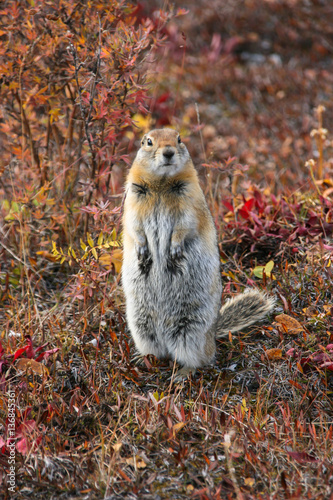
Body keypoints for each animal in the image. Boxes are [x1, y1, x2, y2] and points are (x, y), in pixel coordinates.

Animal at [120, 129, 274, 378]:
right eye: (148, 141)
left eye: (179, 139)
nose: (169, 152)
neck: (162, 183)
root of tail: (213, 336)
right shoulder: (133, 198)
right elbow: (134, 226)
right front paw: (143, 251)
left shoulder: (190, 199)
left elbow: (184, 226)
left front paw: (174, 251)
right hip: (141, 326)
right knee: (158, 351)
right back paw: (142, 359)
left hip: (191, 331)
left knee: (200, 359)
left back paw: (182, 374)